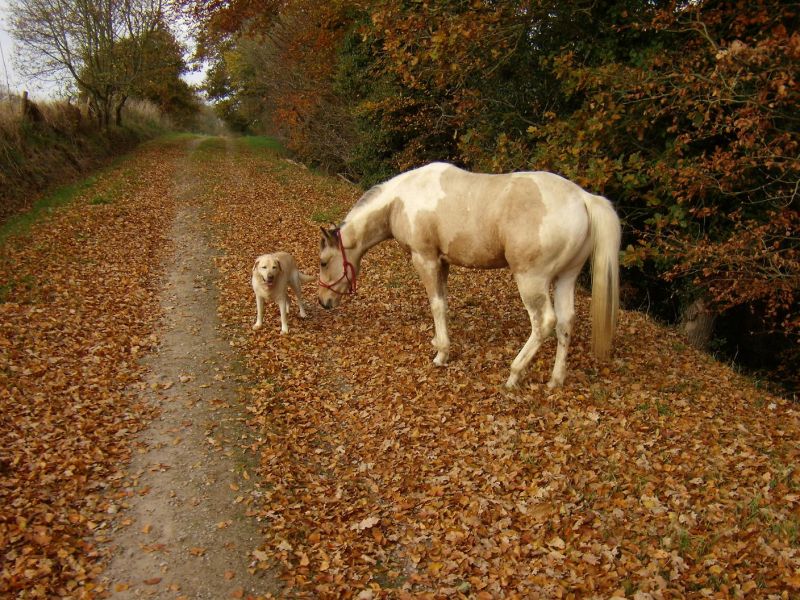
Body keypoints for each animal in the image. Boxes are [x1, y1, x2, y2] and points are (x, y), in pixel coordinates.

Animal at [318, 162, 621, 389]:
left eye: (323, 262)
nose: (323, 302)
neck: (400, 200)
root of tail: (582, 198)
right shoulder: (442, 263)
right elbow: (444, 303)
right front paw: (439, 342)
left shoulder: (425, 259)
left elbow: (436, 305)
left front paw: (441, 354)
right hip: (566, 278)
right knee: (565, 322)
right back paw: (555, 380)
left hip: (531, 281)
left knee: (544, 322)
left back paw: (514, 374)